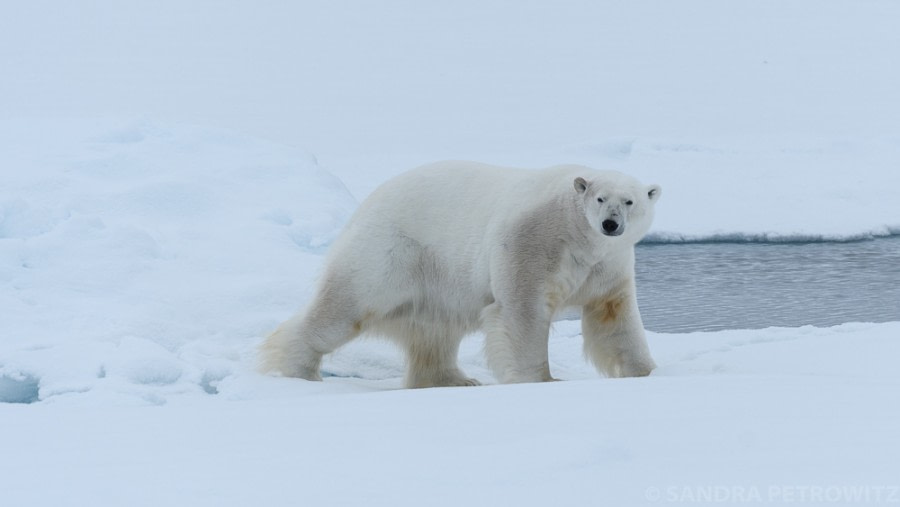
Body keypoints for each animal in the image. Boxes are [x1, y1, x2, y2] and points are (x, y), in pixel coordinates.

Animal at [260, 161, 660, 386]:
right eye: (599, 198)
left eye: (629, 201)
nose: (611, 224)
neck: (576, 236)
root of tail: (368, 203)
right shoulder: (532, 242)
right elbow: (522, 311)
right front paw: (542, 379)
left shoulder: (608, 264)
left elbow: (615, 318)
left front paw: (645, 373)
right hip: (390, 252)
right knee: (343, 308)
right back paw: (298, 369)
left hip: (436, 279)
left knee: (435, 330)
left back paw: (456, 380)